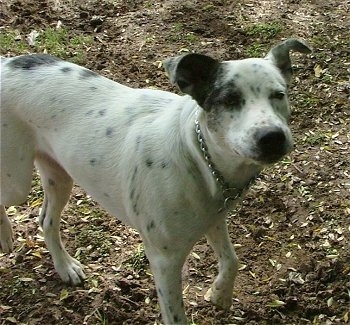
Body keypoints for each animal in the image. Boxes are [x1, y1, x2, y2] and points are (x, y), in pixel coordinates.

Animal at [0, 39, 312, 322]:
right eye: (229, 100)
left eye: (278, 94)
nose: (272, 137)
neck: (197, 156)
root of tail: (6, 63)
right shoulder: (165, 261)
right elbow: (176, 315)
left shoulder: (214, 217)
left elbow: (232, 259)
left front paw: (220, 294)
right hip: (16, 181)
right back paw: (5, 235)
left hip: (59, 175)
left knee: (46, 219)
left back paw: (65, 267)